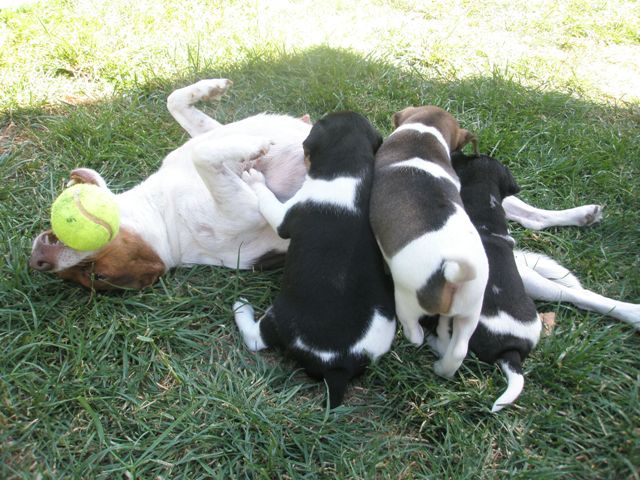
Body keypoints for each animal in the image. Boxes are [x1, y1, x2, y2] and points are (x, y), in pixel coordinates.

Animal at [232, 111, 398, 408]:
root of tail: (339, 366)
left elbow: (267, 201)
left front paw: (255, 179)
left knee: (256, 339)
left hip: (280, 319)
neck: (350, 174)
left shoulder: (286, 217)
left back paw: (241, 309)